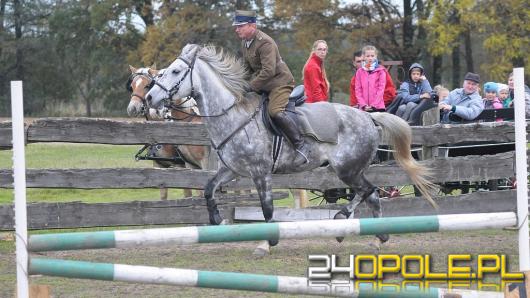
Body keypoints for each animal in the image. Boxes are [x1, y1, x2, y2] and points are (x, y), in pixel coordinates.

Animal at [126, 66, 208, 199]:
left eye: (148, 85)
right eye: (132, 86)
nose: (132, 108)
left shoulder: (180, 166)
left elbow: (188, 194)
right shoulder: (158, 166)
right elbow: (163, 195)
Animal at [144, 43, 434, 249]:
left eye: (175, 72)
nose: (149, 97)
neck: (232, 114)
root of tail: (368, 116)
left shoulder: (260, 173)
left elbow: (267, 208)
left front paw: (268, 241)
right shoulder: (232, 170)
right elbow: (208, 190)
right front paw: (218, 221)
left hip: (347, 169)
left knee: (368, 191)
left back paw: (342, 221)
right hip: (352, 169)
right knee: (371, 195)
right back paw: (376, 237)